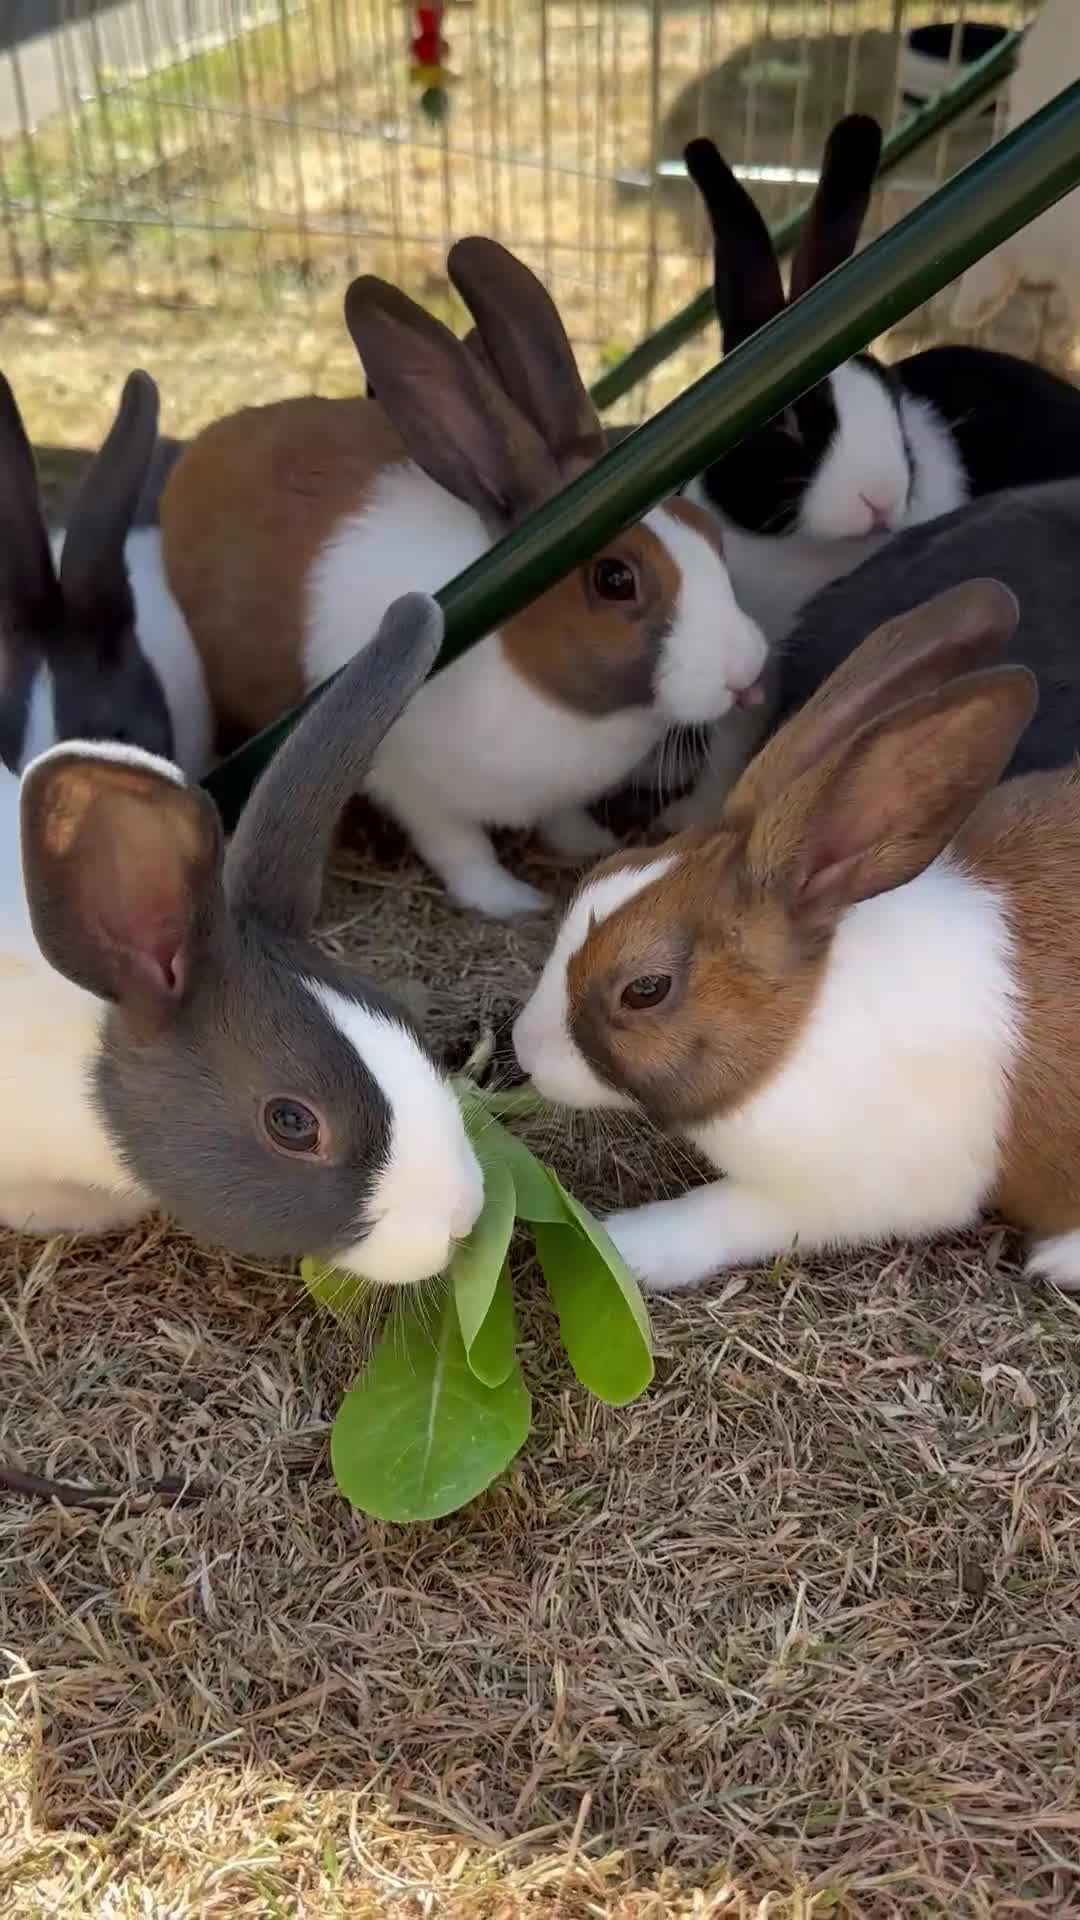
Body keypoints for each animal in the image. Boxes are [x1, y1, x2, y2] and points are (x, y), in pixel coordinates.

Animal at [159, 236, 767, 921]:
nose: (748, 670)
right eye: (614, 579)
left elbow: (561, 815)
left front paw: (590, 842)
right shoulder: (410, 784)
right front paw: (512, 900)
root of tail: (200, 449)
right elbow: (459, 847)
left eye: (707, 530)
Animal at [513, 576, 1080, 1297]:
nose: (523, 1050)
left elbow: (725, 1210)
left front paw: (627, 1244)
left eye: (645, 989)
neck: (803, 1027)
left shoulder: (852, 1194)